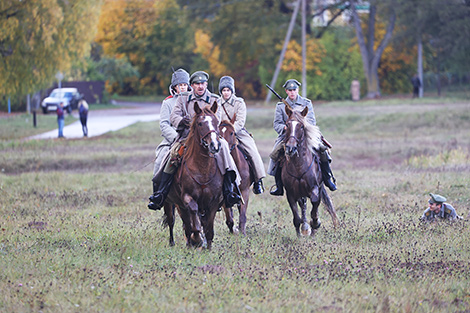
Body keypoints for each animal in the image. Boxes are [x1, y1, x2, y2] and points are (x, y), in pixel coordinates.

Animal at [163, 102, 224, 249]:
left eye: (216, 122)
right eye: (200, 123)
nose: (215, 145)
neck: (202, 169)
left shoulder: (213, 202)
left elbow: (209, 229)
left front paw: (208, 247)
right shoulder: (187, 198)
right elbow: (194, 223)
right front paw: (197, 239)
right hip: (171, 203)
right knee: (174, 222)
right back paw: (176, 243)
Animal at [280, 103, 340, 235]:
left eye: (302, 126)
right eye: (287, 125)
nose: (290, 148)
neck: (298, 166)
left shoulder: (315, 190)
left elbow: (314, 212)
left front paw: (315, 226)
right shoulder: (291, 194)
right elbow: (297, 219)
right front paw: (300, 234)